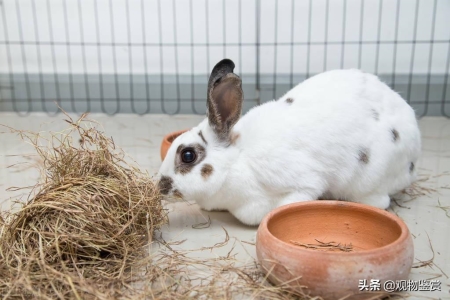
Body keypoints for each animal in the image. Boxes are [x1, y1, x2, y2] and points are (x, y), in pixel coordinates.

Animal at [156, 58, 420, 225]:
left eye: (188, 155)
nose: (160, 186)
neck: (237, 159)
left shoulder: (303, 184)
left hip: (368, 179)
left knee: (380, 199)